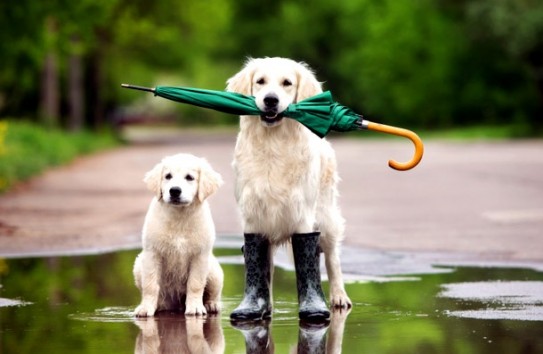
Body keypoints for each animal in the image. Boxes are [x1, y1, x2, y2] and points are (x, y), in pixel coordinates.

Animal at [133, 153, 224, 316]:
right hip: (138, 264)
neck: (179, 217)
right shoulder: (152, 253)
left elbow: (195, 284)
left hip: (214, 271)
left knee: (213, 292)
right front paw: (145, 308)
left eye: (189, 177)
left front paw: (195, 308)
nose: (174, 190)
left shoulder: (200, 255)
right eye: (168, 176)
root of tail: (175, 306)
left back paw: (212, 305)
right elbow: (150, 285)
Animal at [226, 57, 350, 320]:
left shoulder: (302, 214)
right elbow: (259, 264)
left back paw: (339, 297)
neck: (273, 144)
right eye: (260, 81)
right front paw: (257, 306)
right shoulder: (253, 215)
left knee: (332, 258)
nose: (270, 100)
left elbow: (310, 258)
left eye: (287, 83)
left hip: (326, 217)